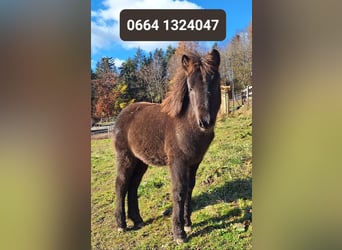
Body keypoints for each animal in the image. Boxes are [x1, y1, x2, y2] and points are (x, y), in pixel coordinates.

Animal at [114, 48, 222, 242]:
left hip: (140, 161)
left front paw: (187, 224)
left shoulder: (194, 162)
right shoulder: (178, 162)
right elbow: (178, 191)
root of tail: (123, 113)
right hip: (125, 157)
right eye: (190, 88)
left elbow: (189, 189)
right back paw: (121, 225)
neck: (186, 125)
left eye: (214, 83)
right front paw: (179, 233)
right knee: (121, 185)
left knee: (133, 186)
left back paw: (138, 220)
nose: (205, 122)